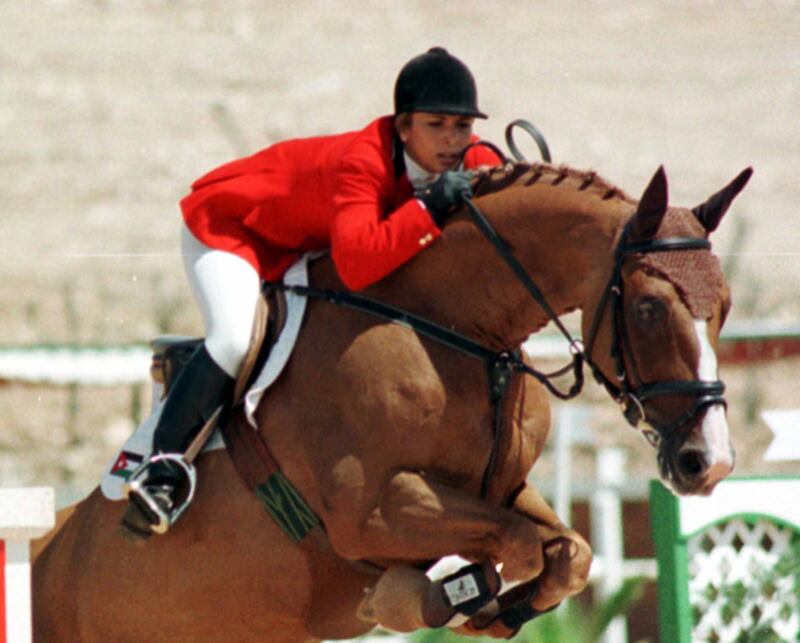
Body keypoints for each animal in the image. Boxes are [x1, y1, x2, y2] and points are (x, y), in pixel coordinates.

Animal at [32, 161, 752, 640]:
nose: (707, 461)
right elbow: (517, 544)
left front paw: (488, 606)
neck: (456, 331)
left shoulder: (502, 488)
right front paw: (434, 598)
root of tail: (50, 546)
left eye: (724, 307)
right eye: (651, 307)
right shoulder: (371, 511)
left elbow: (567, 552)